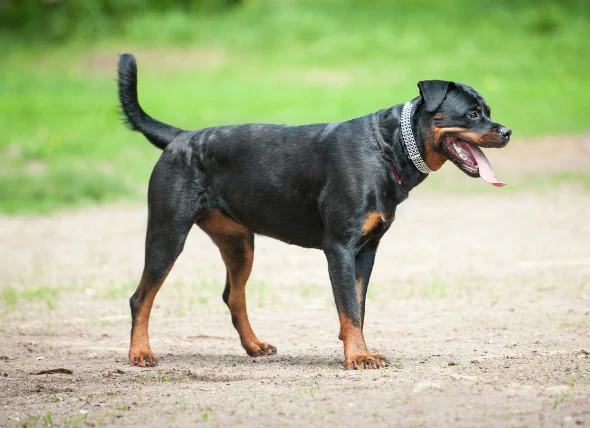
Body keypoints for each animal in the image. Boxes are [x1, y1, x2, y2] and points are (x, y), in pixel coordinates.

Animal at [118, 52, 512, 368]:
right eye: (473, 113)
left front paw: (358, 349)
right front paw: (358, 357)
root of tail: (180, 137)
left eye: (488, 112)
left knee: (233, 295)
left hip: (240, 242)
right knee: (141, 297)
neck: (389, 147)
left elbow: (358, 306)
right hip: (168, 232)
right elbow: (350, 307)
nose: (507, 130)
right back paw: (140, 353)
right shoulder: (340, 247)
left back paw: (254, 345)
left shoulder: (367, 250)